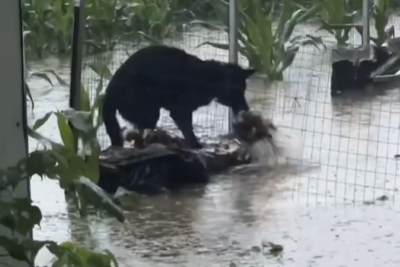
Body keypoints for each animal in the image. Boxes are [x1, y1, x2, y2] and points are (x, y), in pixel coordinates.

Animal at [101, 44, 255, 149]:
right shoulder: (180, 112)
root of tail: (109, 91)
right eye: (236, 91)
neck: (208, 77)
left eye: (244, 90)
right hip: (149, 113)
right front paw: (196, 146)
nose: (246, 108)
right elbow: (189, 132)